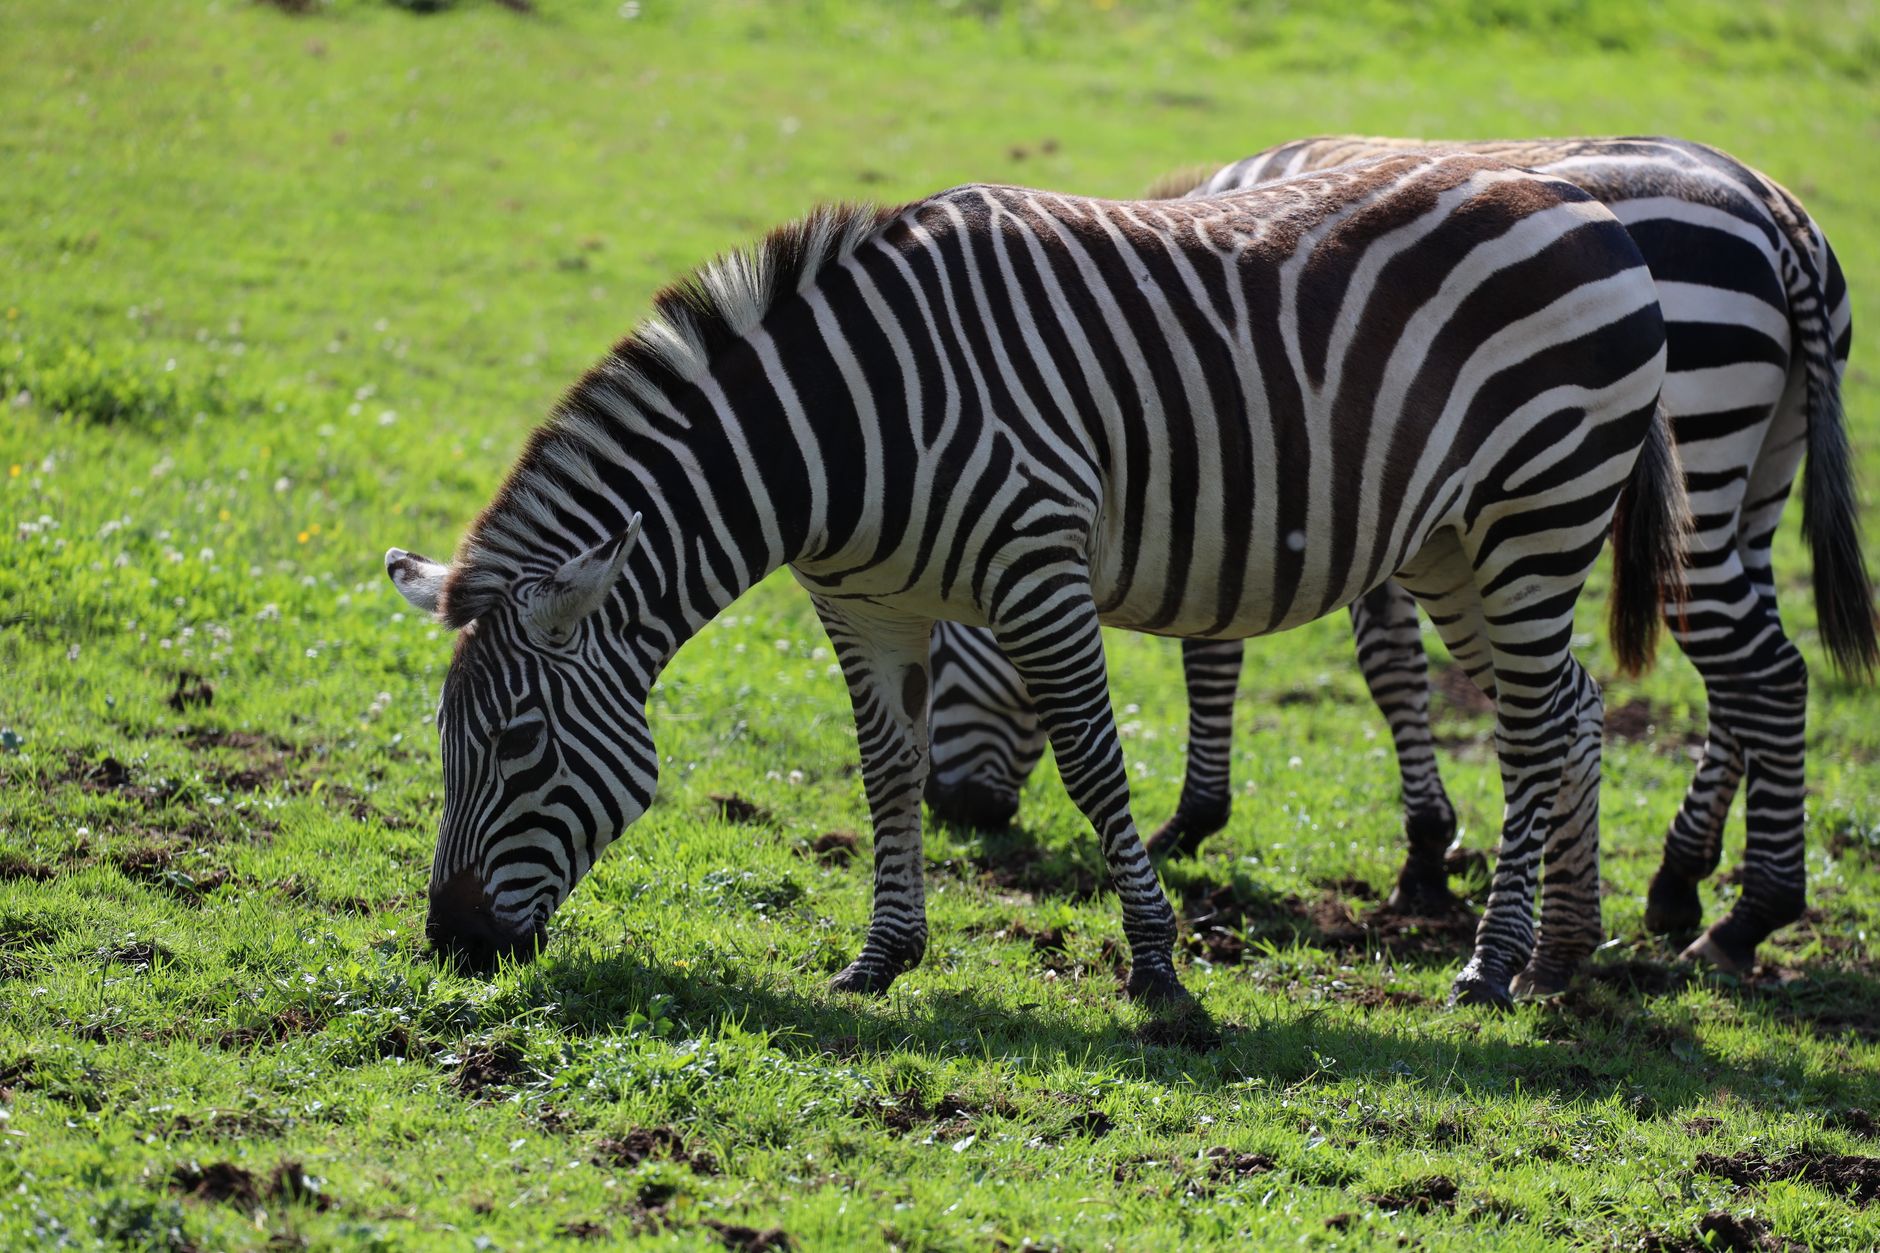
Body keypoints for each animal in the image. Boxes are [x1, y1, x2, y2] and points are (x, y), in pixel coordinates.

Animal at [384, 151, 1680, 1010]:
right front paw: (881, 955)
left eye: (519, 746)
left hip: (1536, 513)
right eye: (442, 743)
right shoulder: (861, 605)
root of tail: (1577, 203)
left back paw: (1490, 962)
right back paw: (1561, 952)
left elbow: (1093, 760)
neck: (842, 434)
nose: (450, 941)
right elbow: (886, 772)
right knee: (1564, 710)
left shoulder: (1037, 565)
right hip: (1453, 543)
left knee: (1531, 726)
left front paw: (1158, 973)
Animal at [926, 135, 1870, 977]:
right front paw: (1426, 849)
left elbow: (1293, 657)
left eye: (939, 651)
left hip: (1691, 456)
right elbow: (1375, 663)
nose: (956, 812)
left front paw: (1209, 820)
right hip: (1756, 480)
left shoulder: (1285, 481)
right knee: (1744, 676)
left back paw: (1749, 915)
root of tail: (1774, 212)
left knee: (1763, 671)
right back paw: (1680, 884)